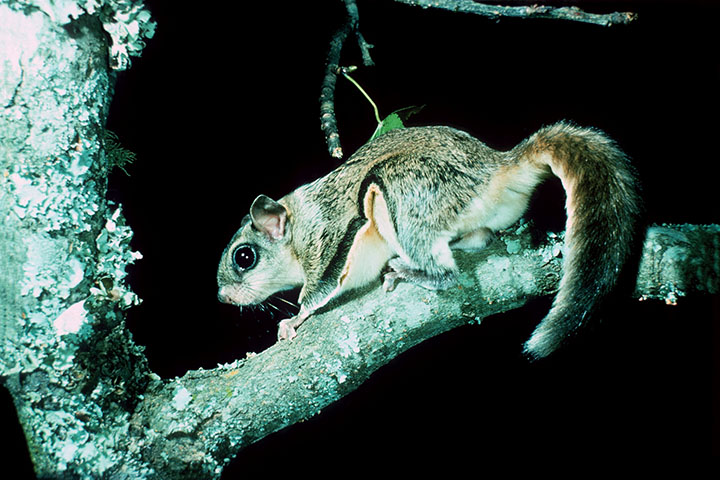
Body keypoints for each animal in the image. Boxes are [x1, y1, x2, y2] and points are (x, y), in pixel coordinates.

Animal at [217, 121, 641, 359]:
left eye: (244, 257)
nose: (223, 298)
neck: (297, 227)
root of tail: (498, 167)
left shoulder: (330, 236)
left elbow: (319, 289)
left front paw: (294, 320)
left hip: (400, 189)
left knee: (446, 274)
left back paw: (409, 271)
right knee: (478, 239)